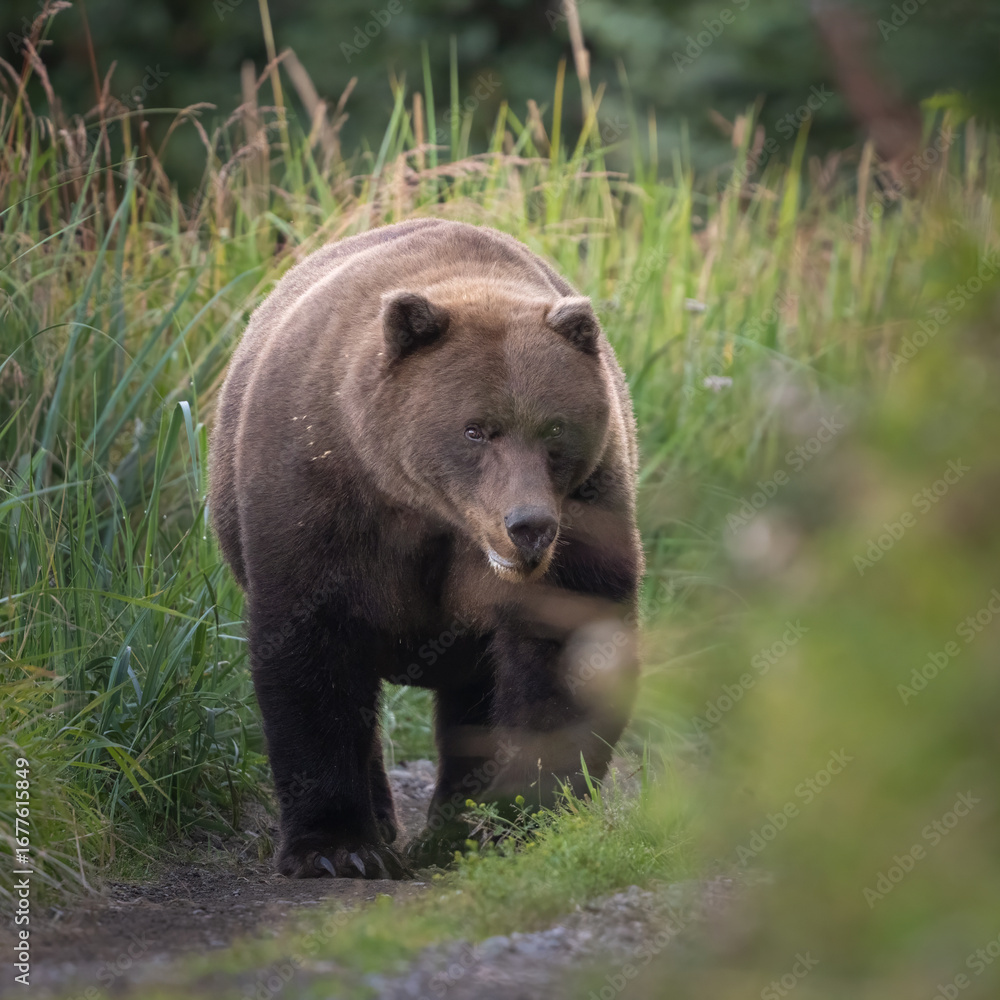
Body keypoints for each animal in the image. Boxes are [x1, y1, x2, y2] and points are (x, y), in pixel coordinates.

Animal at [209, 218, 643, 879]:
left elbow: (565, 651)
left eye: (554, 429)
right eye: (476, 429)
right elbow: (310, 651)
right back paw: (388, 827)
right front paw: (333, 847)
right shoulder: (321, 497)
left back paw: (451, 828)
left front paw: (528, 818)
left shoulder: (585, 515)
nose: (529, 526)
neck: (433, 513)